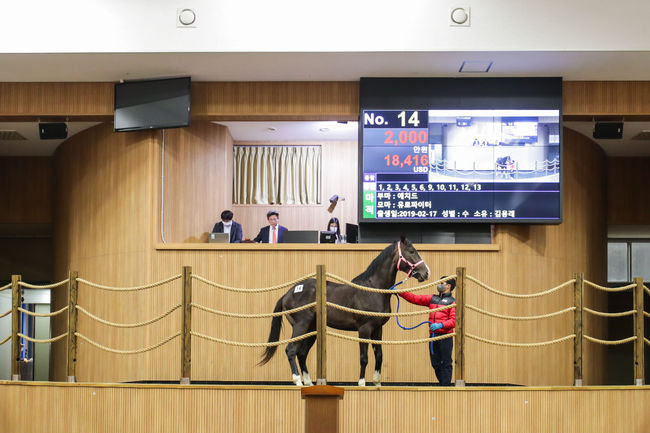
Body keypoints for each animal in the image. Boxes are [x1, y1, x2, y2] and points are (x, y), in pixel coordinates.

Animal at [258, 238, 430, 386]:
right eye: (412, 251)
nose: (426, 273)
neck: (372, 289)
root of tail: (288, 293)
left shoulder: (378, 329)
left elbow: (379, 355)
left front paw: (377, 383)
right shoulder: (364, 329)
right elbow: (364, 357)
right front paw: (361, 383)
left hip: (312, 329)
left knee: (301, 353)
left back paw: (308, 382)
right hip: (301, 326)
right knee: (291, 350)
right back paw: (298, 381)